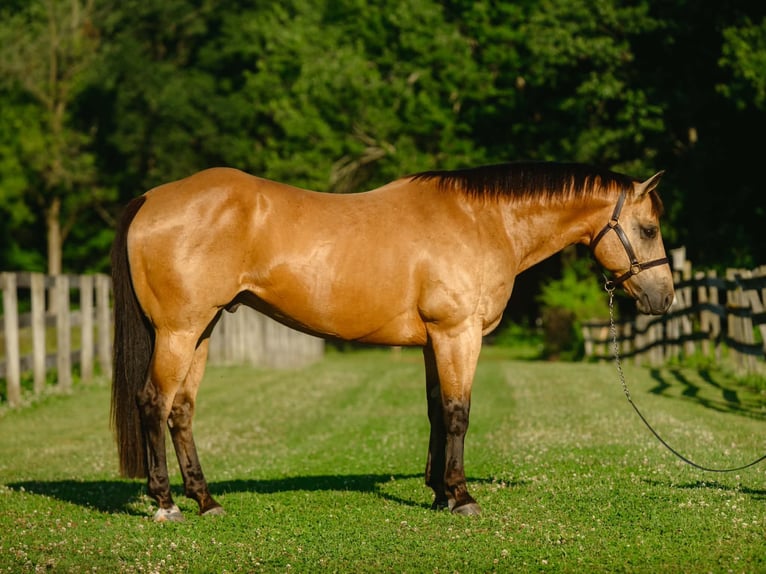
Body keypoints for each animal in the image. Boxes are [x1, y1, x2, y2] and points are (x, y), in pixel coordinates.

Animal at [111, 161, 674, 521]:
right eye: (648, 229)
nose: (664, 297)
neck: (481, 221)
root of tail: (151, 198)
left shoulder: (433, 340)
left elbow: (436, 410)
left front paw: (439, 493)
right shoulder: (458, 333)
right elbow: (458, 412)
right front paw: (462, 497)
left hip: (201, 331)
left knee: (182, 410)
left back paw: (205, 501)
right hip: (179, 332)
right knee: (154, 402)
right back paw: (166, 504)